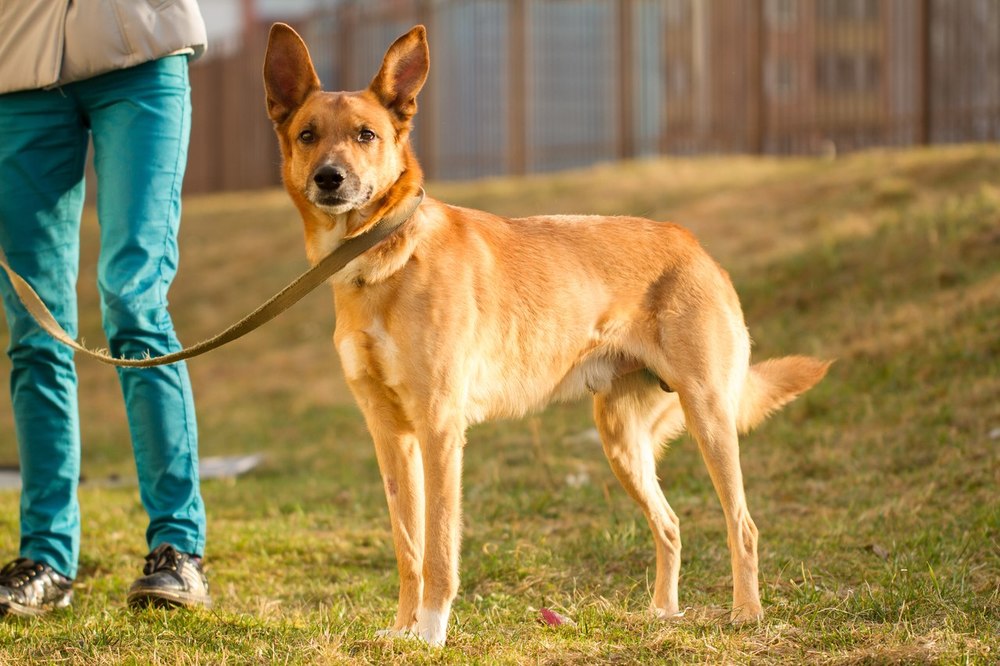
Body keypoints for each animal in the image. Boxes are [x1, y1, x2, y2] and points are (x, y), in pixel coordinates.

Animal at [262, 23, 832, 640]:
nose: (330, 179)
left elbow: (438, 548)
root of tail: (693, 244)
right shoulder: (389, 435)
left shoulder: (440, 429)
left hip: (709, 418)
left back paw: (746, 614)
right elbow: (407, 546)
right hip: (621, 441)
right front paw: (402, 631)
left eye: (366, 135)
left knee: (742, 525)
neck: (381, 259)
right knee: (671, 524)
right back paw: (663, 612)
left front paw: (431, 633)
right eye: (308, 135)